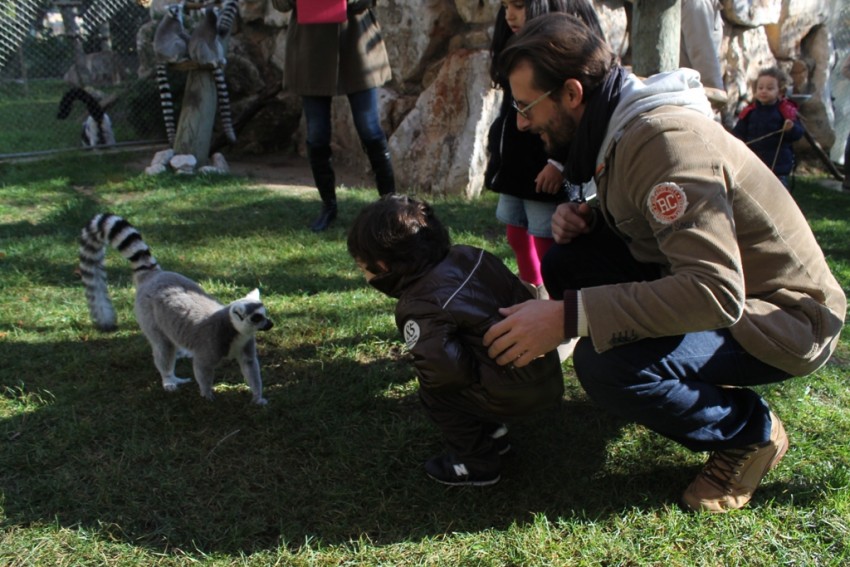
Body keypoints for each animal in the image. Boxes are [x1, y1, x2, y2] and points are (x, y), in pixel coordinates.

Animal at [79, 213, 273, 405]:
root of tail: (154, 276)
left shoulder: (245, 344)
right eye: (256, 318)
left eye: (264, 314)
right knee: (163, 347)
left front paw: (258, 398)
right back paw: (169, 379)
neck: (234, 331)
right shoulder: (211, 343)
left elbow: (249, 365)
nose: (270, 324)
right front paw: (207, 395)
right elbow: (202, 367)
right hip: (148, 316)